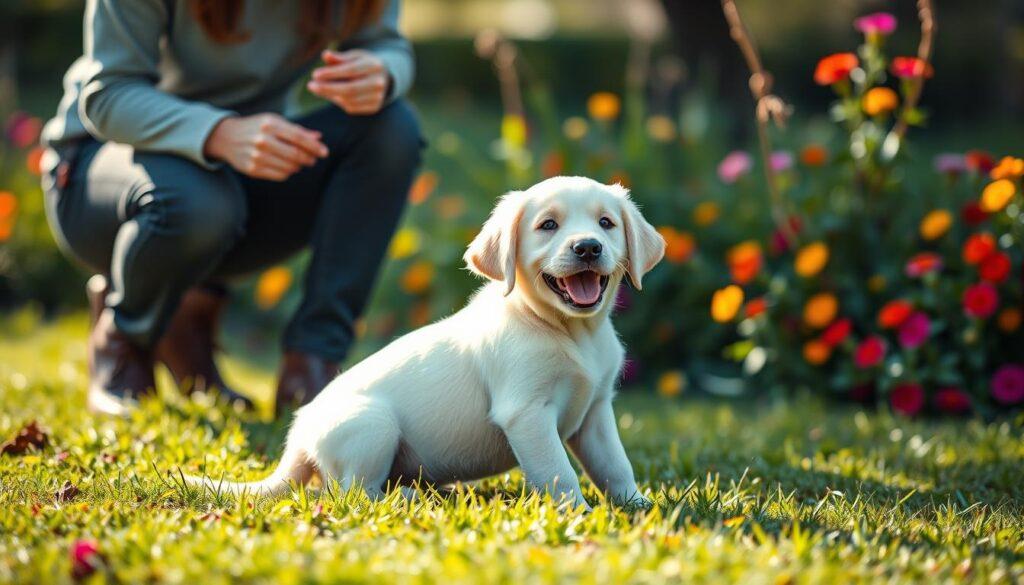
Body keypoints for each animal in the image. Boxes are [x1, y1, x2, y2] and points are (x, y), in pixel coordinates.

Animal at [193, 175, 663, 508]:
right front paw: (578, 513)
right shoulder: (526, 412)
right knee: (348, 492)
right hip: (374, 426)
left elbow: (615, 465)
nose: (587, 247)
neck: (566, 329)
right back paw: (407, 496)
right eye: (548, 225)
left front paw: (637, 505)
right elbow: (558, 473)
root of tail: (298, 439)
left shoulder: (596, 412)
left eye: (606, 223)